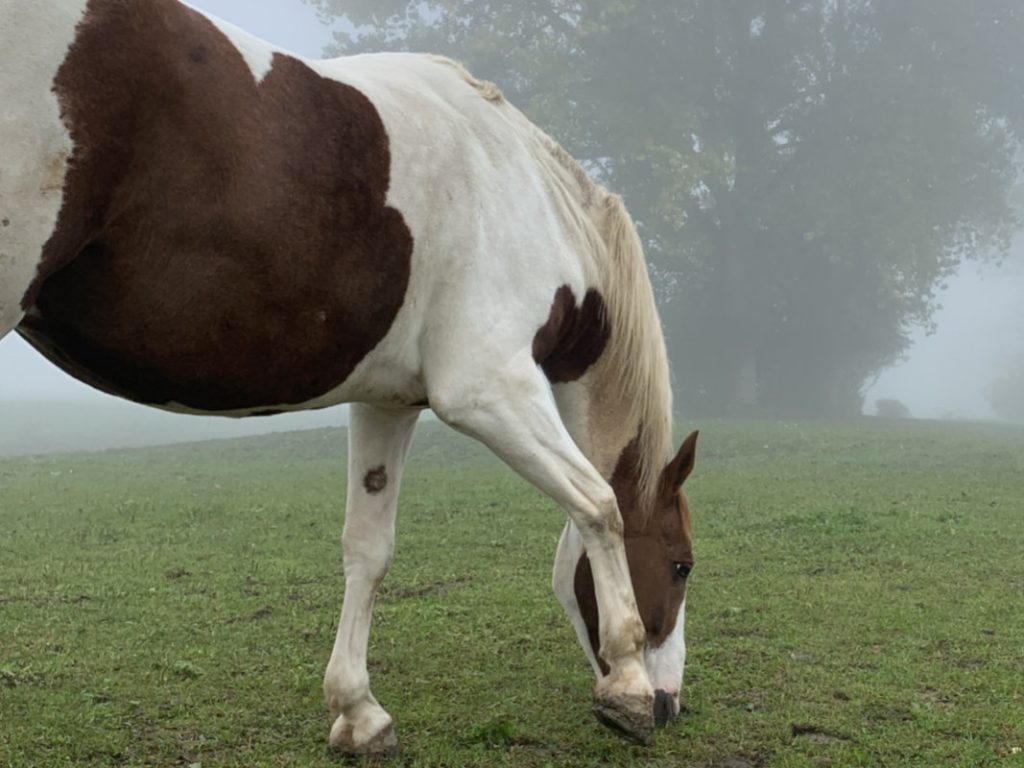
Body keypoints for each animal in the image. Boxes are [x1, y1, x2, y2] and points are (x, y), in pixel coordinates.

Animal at [0, 0, 699, 753]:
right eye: (682, 562)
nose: (671, 704)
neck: (523, 194)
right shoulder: (489, 392)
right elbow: (597, 503)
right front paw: (627, 682)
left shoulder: (386, 403)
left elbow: (368, 550)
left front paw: (358, 712)